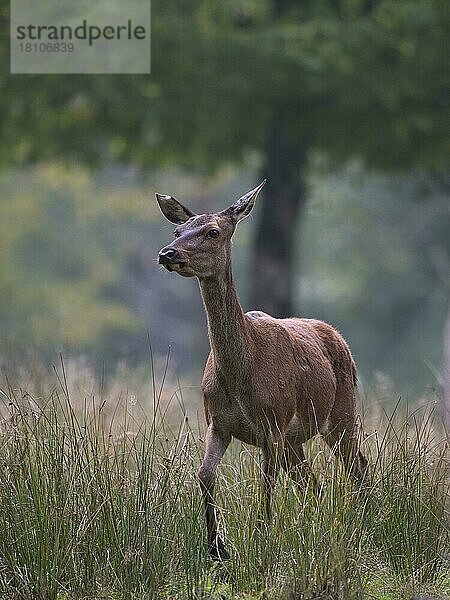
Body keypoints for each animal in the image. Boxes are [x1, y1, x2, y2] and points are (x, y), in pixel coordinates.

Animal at [156, 179, 368, 564]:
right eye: (178, 230)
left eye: (213, 231)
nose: (168, 253)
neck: (241, 378)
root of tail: (338, 337)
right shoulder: (218, 422)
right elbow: (204, 475)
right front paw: (217, 548)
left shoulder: (273, 422)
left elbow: (266, 483)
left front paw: (262, 538)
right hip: (297, 439)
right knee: (312, 483)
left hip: (341, 414)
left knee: (357, 467)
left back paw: (364, 525)